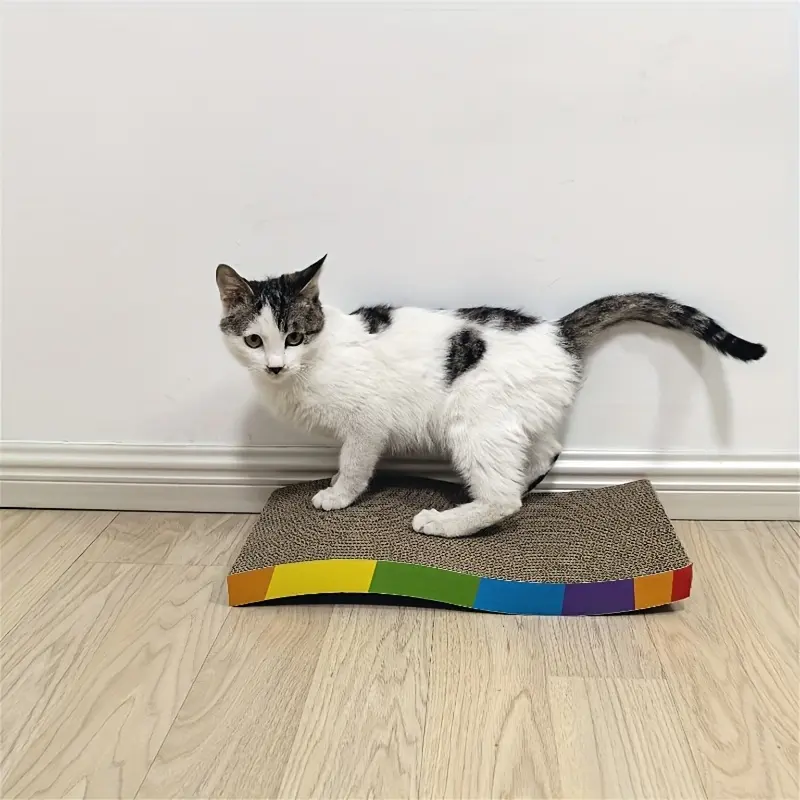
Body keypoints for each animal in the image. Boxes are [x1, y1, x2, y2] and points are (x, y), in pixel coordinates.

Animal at [216, 255, 766, 538]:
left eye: (294, 337)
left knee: (503, 500)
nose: (275, 365)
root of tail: (555, 331)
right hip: (513, 419)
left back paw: (446, 521)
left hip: (474, 420)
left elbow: (354, 464)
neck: (318, 356)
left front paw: (336, 495)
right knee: (544, 452)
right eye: (254, 340)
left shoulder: (367, 424)